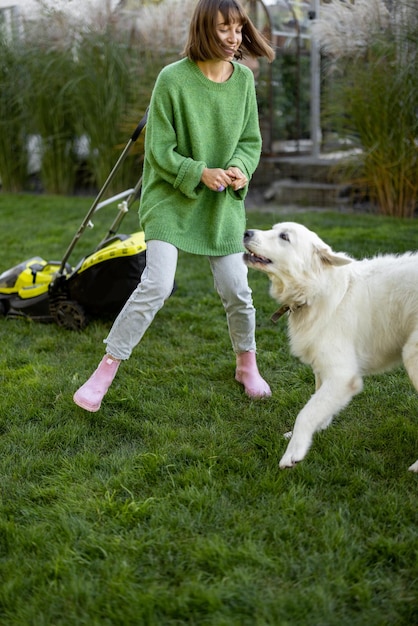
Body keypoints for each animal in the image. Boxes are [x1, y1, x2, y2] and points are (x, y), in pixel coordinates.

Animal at [243, 222, 416, 470]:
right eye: (274, 229)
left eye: (284, 236)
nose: (246, 232)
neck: (317, 292)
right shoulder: (323, 369)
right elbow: (317, 403)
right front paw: (313, 430)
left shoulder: (342, 376)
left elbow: (306, 412)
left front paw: (293, 452)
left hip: (411, 354)